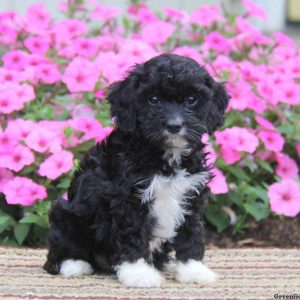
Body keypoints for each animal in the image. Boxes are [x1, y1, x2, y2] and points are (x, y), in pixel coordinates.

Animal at [42, 54, 230, 288]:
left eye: (191, 99)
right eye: (154, 99)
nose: (174, 125)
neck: (166, 156)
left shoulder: (191, 194)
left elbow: (191, 232)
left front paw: (193, 269)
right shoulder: (128, 198)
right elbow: (133, 233)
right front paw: (138, 273)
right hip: (67, 213)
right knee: (61, 248)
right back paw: (74, 264)